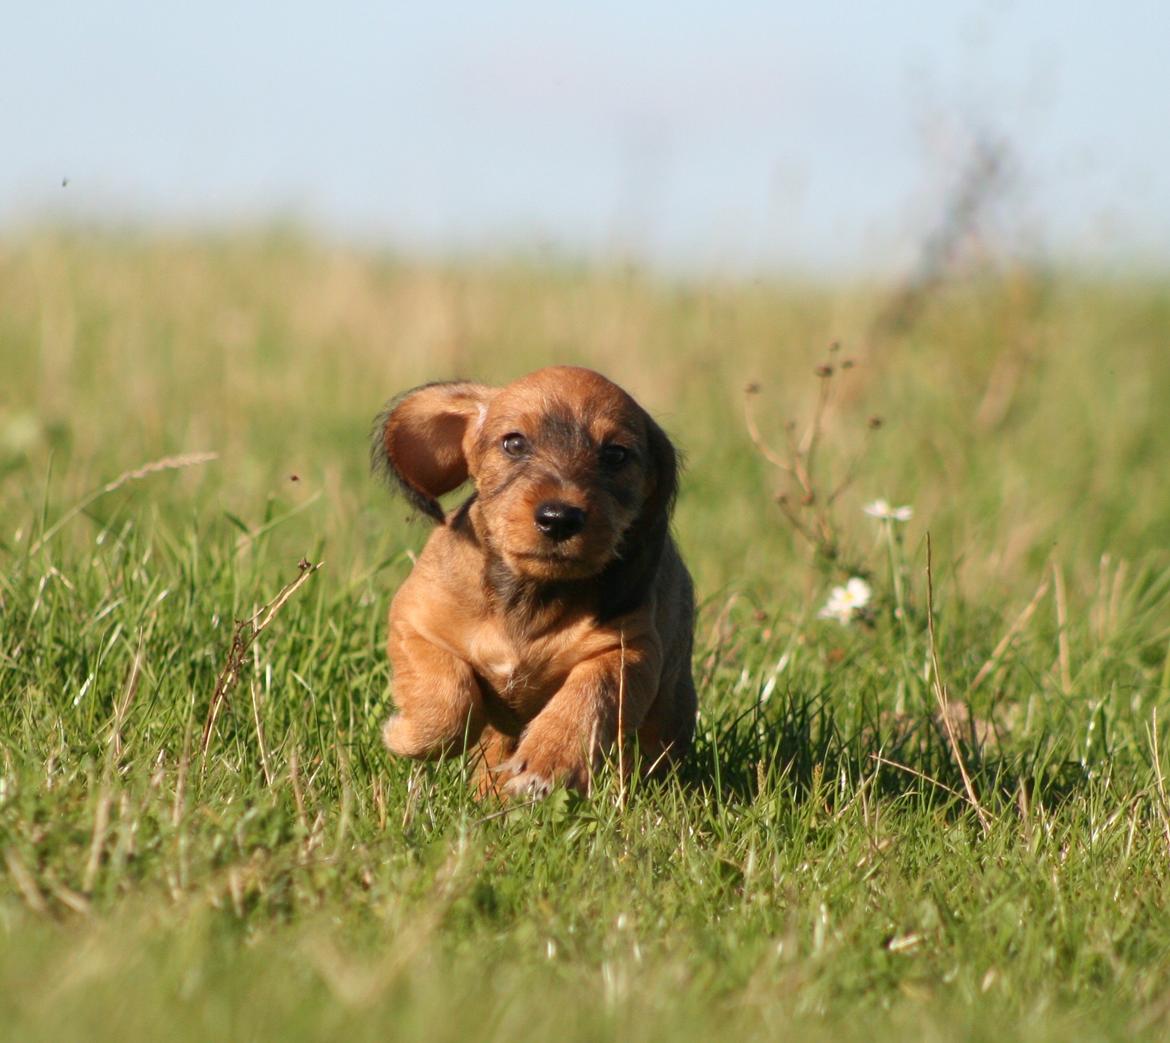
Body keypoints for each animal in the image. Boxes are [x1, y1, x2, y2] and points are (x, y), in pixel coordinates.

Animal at [369, 362, 692, 796]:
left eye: (615, 454)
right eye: (514, 443)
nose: (559, 518)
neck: (529, 598)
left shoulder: (629, 650)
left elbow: (589, 698)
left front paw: (547, 763)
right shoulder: (415, 623)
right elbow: (447, 703)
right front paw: (405, 733)